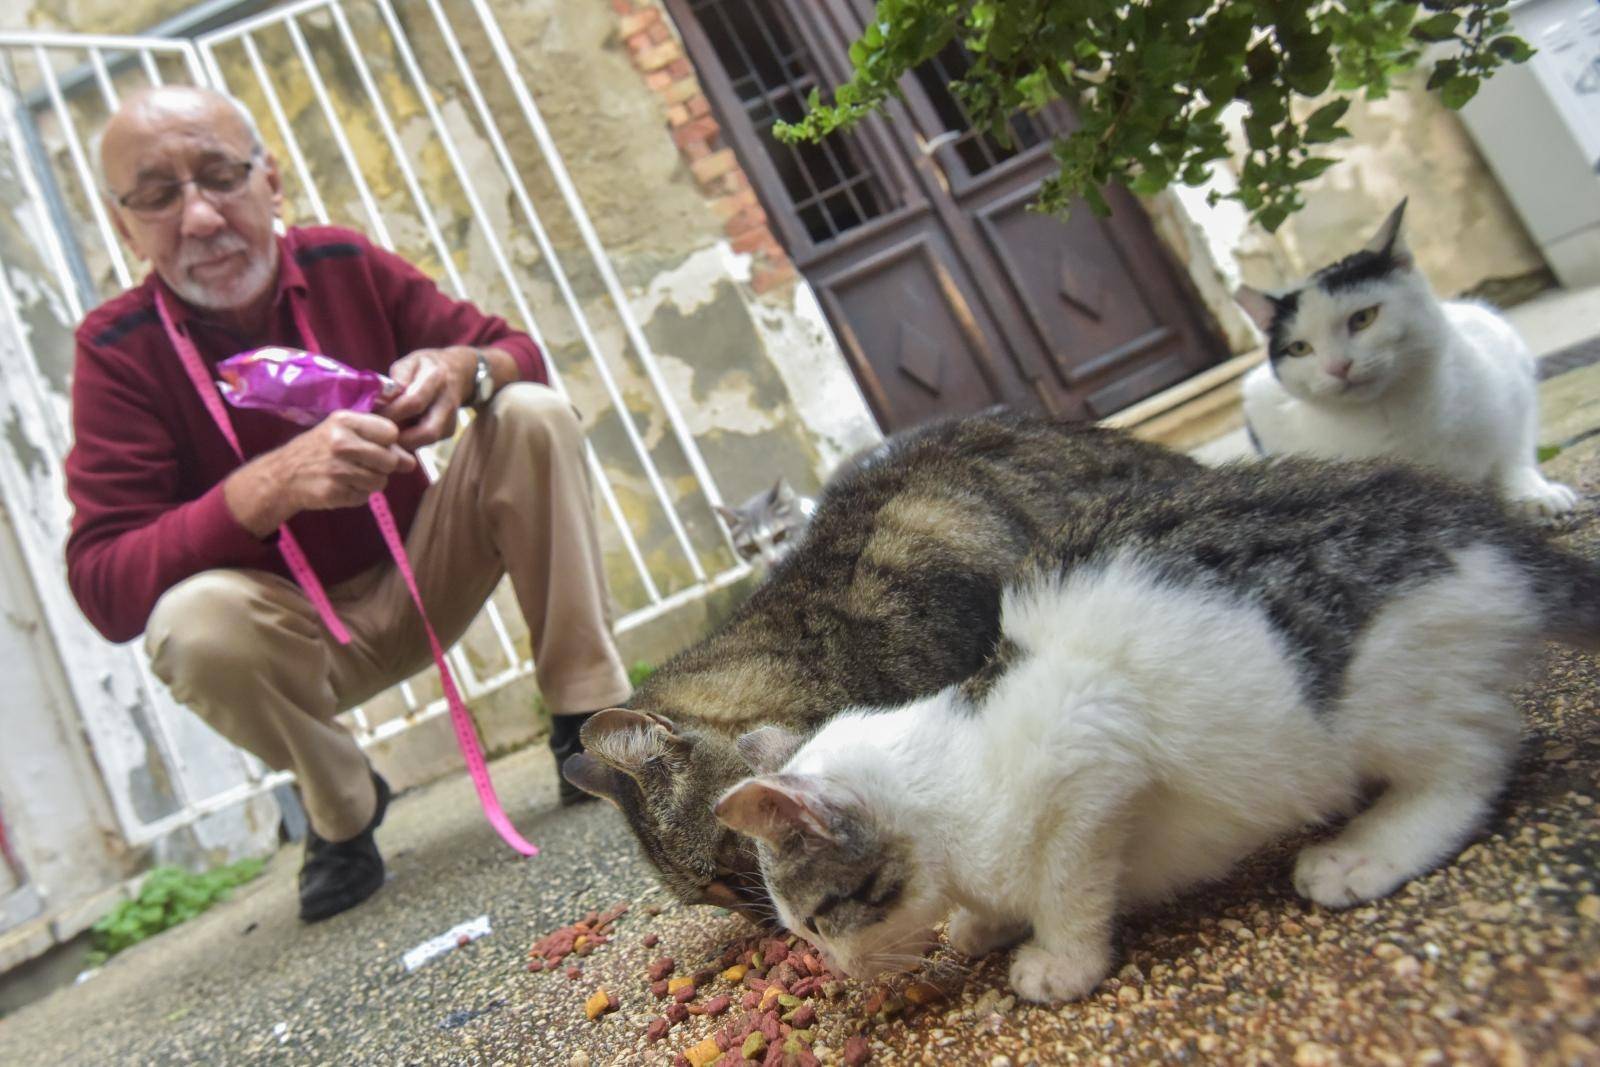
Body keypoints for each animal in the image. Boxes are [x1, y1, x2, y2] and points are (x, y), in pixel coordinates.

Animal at [716, 460, 1600, 1004]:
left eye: (817, 920)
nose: (836, 969)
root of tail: (1480, 529)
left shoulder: (1090, 756)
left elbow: (1069, 883)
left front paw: (1060, 960)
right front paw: (985, 922)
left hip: (1383, 694)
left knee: (1478, 752)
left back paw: (1367, 850)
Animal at [1235, 199, 1574, 521]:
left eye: (1363, 318)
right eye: (1299, 348)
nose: (1337, 367)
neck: (1392, 412)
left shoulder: (1507, 363)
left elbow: (1513, 450)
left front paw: (1532, 494)